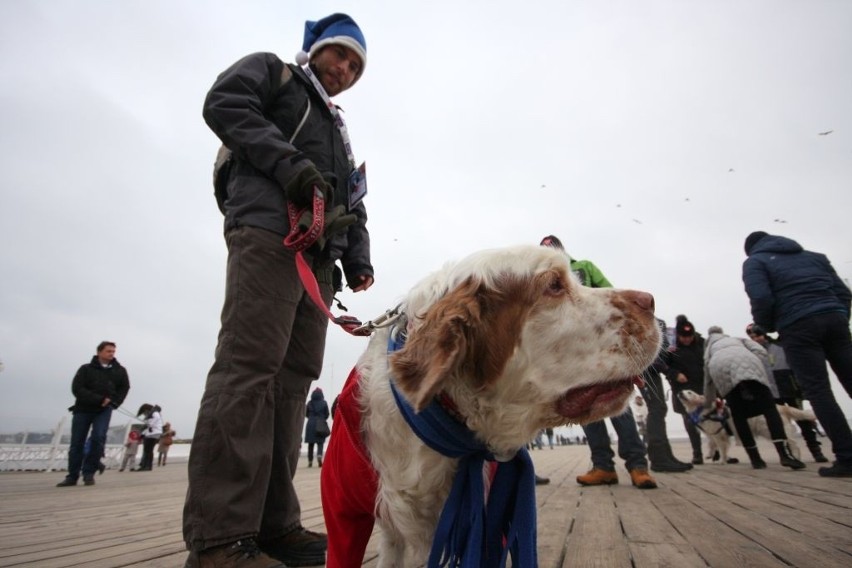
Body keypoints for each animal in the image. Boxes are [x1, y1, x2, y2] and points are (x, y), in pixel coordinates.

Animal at [676, 388, 816, 464]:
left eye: (690, 392)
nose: (680, 392)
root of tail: (782, 407)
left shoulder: (719, 434)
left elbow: (722, 448)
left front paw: (723, 460)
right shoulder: (713, 433)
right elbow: (711, 444)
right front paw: (710, 454)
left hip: (774, 429)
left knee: (794, 445)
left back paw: (797, 458)